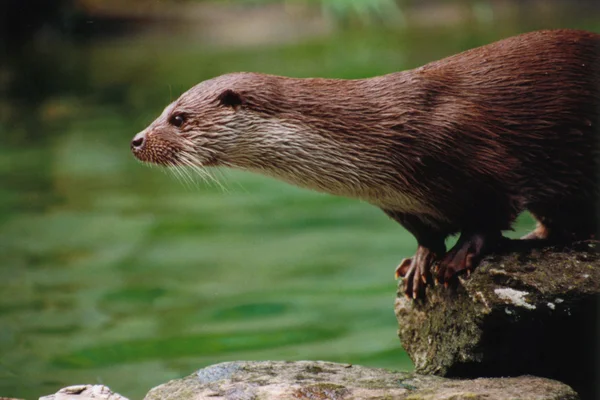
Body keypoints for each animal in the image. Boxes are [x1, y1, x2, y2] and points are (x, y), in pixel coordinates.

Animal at [131, 29, 600, 300]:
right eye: (163, 109)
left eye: (178, 118)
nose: (136, 141)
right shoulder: (397, 203)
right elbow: (427, 235)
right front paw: (419, 264)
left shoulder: (478, 157)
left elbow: (490, 217)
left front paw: (457, 259)